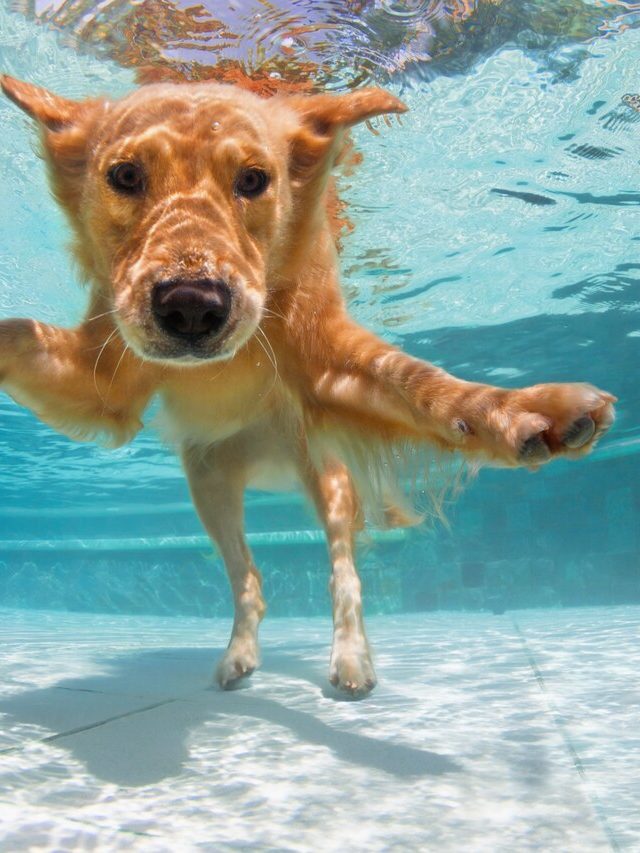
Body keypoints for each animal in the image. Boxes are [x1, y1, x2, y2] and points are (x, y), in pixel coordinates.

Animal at [0, 76, 612, 696]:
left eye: (253, 180)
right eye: (125, 176)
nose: (192, 307)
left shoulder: (328, 364)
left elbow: (419, 386)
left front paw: (525, 410)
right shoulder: (105, 380)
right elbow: (18, 334)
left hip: (326, 475)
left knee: (344, 572)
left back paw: (351, 659)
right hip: (208, 481)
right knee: (248, 580)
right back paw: (239, 656)